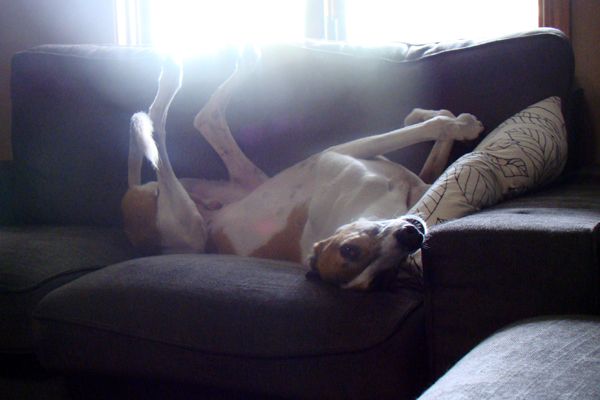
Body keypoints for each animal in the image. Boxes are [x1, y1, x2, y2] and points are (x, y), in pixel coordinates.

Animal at [122, 56, 482, 290]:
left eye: (386, 276)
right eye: (350, 252)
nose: (412, 235)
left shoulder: (420, 180)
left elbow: (429, 131)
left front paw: (428, 114)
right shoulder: (340, 152)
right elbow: (428, 129)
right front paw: (461, 125)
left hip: (246, 181)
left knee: (204, 118)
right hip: (188, 227)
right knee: (162, 125)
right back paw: (169, 81)